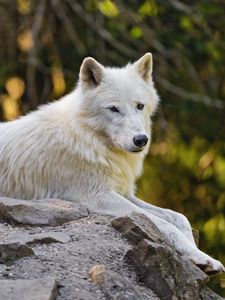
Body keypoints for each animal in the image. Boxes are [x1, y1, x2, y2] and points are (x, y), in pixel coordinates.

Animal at [0, 53, 224, 274]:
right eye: (114, 109)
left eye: (139, 105)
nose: (141, 140)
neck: (90, 138)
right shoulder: (98, 196)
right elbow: (165, 224)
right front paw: (199, 257)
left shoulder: (124, 192)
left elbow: (179, 218)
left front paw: (200, 256)